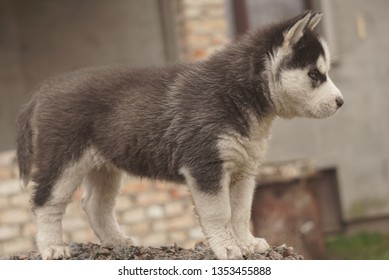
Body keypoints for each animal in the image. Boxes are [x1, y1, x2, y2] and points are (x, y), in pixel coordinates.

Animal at [15, 11, 342, 260]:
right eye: (315, 74)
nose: (341, 102)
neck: (237, 92)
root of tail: (45, 89)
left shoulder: (244, 170)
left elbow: (240, 212)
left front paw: (247, 242)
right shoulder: (206, 167)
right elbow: (220, 213)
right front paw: (228, 248)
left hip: (104, 165)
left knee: (95, 205)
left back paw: (117, 241)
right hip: (62, 161)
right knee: (45, 203)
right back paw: (52, 247)